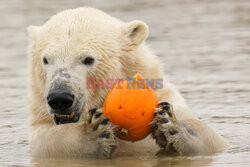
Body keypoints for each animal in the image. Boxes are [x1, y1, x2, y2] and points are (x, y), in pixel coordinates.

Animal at [27, 6, 229, 158]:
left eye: (88, 59)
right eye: (46, 60)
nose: (60, 98)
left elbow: (213, 139)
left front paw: (172, 127)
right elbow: (50, 141)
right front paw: (93, 135)